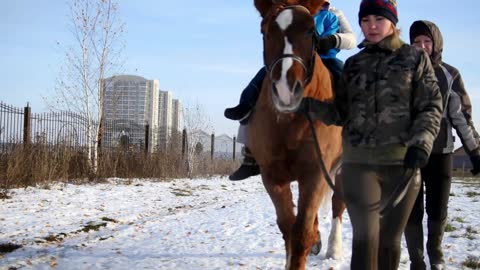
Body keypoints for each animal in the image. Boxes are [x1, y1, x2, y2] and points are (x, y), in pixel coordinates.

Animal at [248, 0, 344, 268]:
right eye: (265, 31)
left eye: (311, 31)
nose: (286, 90)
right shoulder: (273, 177)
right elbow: (288, 228)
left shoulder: (315, 175)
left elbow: (301, 234)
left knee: (338, 203)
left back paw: (334, 248)